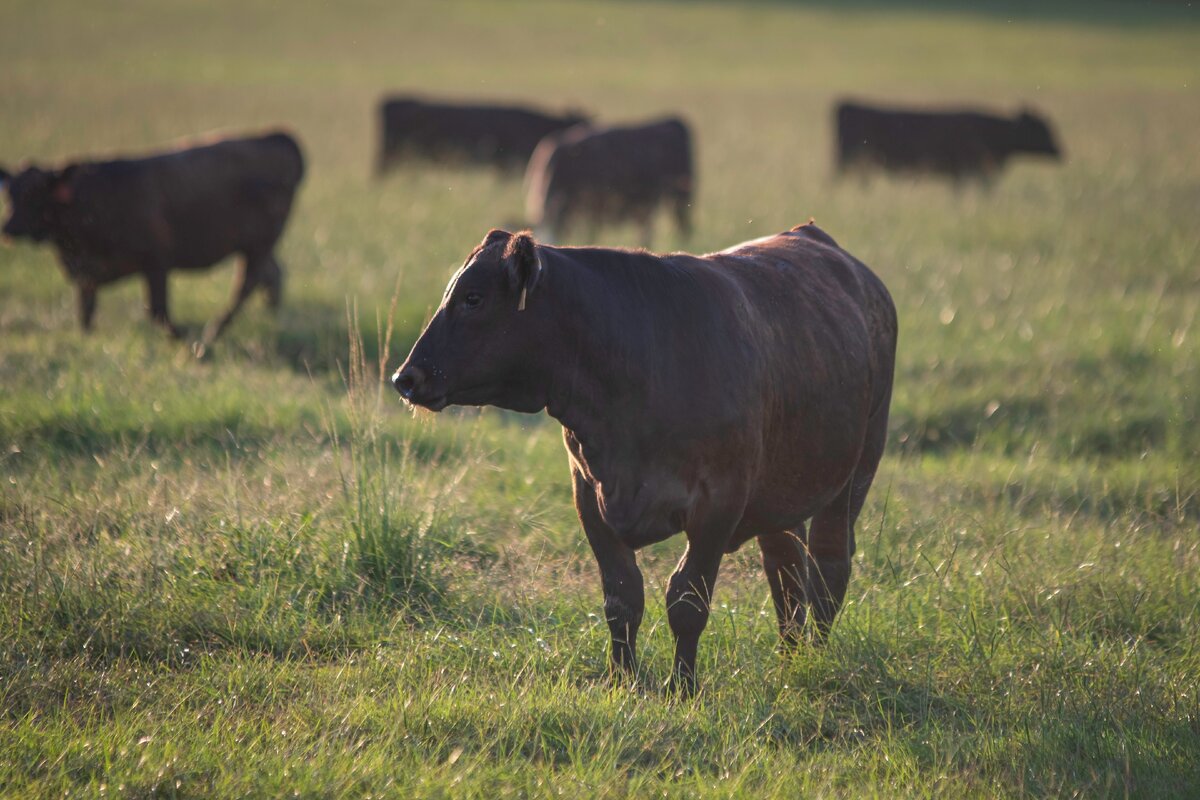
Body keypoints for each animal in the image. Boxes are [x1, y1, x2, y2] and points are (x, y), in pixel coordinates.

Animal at [0, 131, 304, 345]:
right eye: (10, 194)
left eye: (35, 193)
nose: (8, 228)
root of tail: (280, 139)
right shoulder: (87, 274)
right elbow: (85, 312)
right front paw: (85, 340)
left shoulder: (156, 261)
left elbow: (157, 311)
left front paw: (182, 338)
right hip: (255, 246)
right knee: (272, 275)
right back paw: (270, 318)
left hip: (257, 244)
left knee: (246, 284)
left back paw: (211, 334)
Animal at [393, 224, 902, 695]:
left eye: (473, 299)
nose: (406, 377)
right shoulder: (589, 494)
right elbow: (622, 598)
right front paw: (623, 681)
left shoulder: (719, 502)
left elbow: (687, 600)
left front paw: (683, 687)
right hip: (782, 494)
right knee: (786, 571)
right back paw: (790, 661)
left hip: (857, 470)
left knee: (829, 566)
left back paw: (812, 661)